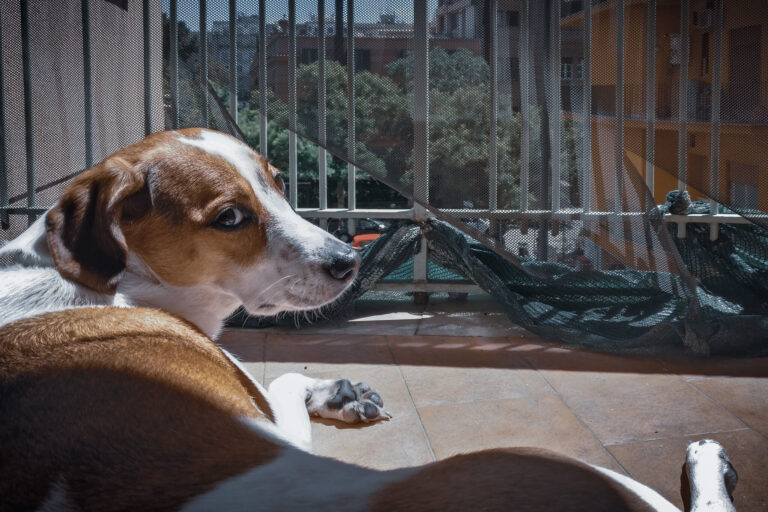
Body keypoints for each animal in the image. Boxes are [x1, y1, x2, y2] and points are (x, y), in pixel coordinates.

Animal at [0, 130, 736, 510]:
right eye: (230, 217)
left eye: (278, 182)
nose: (348, 261)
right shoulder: (271, 426)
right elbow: (284, 378)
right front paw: (338, 390)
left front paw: (341, 391)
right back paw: (708, 459)